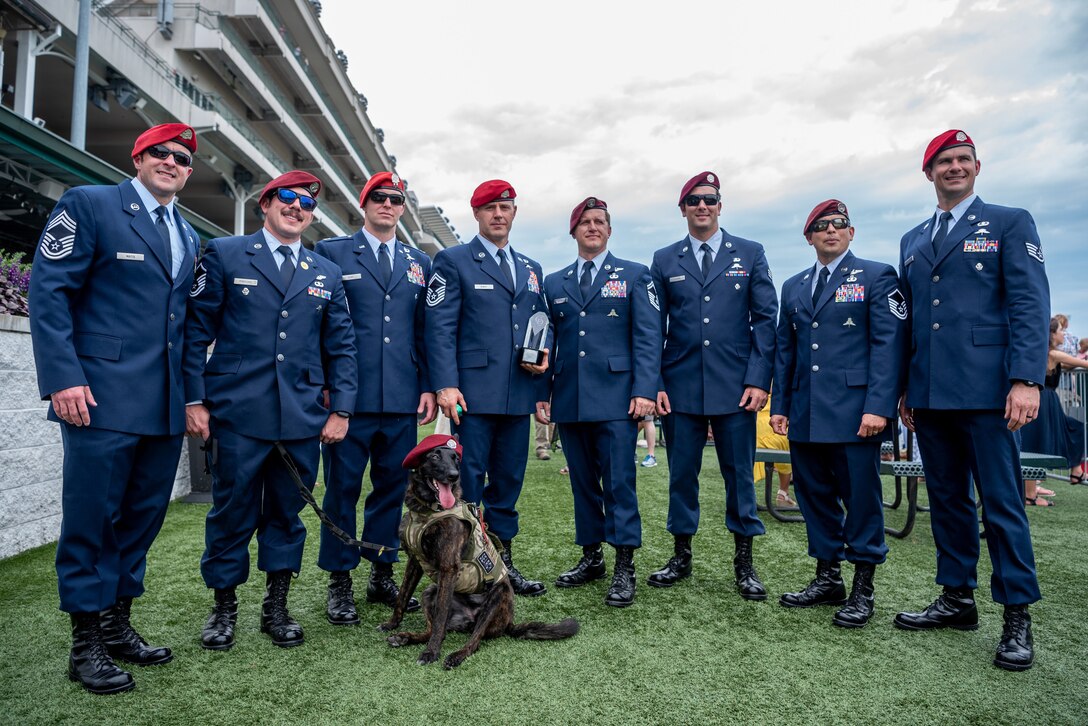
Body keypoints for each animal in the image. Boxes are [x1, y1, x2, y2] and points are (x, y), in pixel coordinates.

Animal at [378, 437, 578, 670]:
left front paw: (431, 652)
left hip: (498, 595)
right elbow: (402, 596)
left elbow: (440, 618)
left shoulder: (448, 567)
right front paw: (392, 624)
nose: (454, 475)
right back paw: (404, 637)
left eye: (456, 459)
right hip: (430, 592)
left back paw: (455, 655)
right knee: (436, 629)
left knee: (472, 640)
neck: (427, 510)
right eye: (435, 456)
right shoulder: (415, 561)